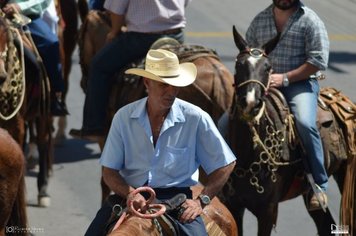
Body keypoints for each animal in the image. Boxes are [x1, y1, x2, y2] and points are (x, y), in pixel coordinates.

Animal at [0, 9, 54, 206]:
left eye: (4, 33)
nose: (1, 75)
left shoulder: (17, 125)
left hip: (43, 112)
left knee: (43, 140)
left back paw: (43, 190)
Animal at [220, 25, 356, 236]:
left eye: (268, 67)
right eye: (239, 65)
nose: (250, 103)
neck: (248, 154)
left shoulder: (267, 211)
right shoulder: (234, 207)